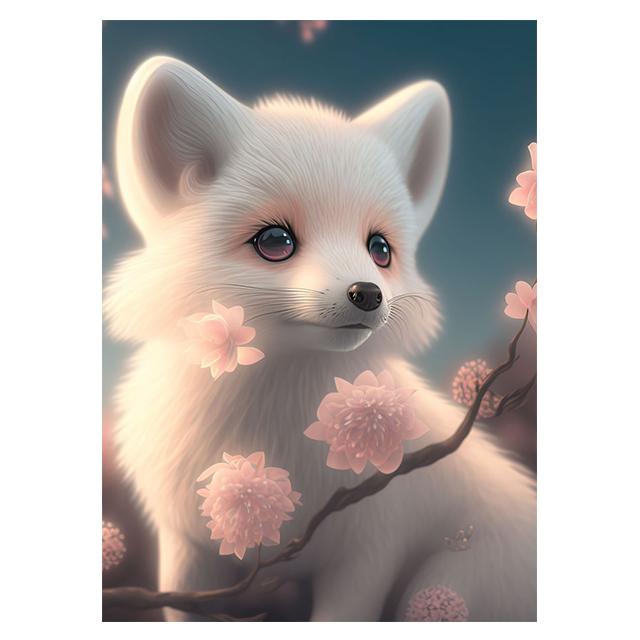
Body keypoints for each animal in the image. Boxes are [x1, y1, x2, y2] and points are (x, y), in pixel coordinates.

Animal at [104, 56, 536, 621]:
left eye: (380, 249)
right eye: (275, 241)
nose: (368, 293)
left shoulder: (369, 548)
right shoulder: (185, 548)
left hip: (445, 580)